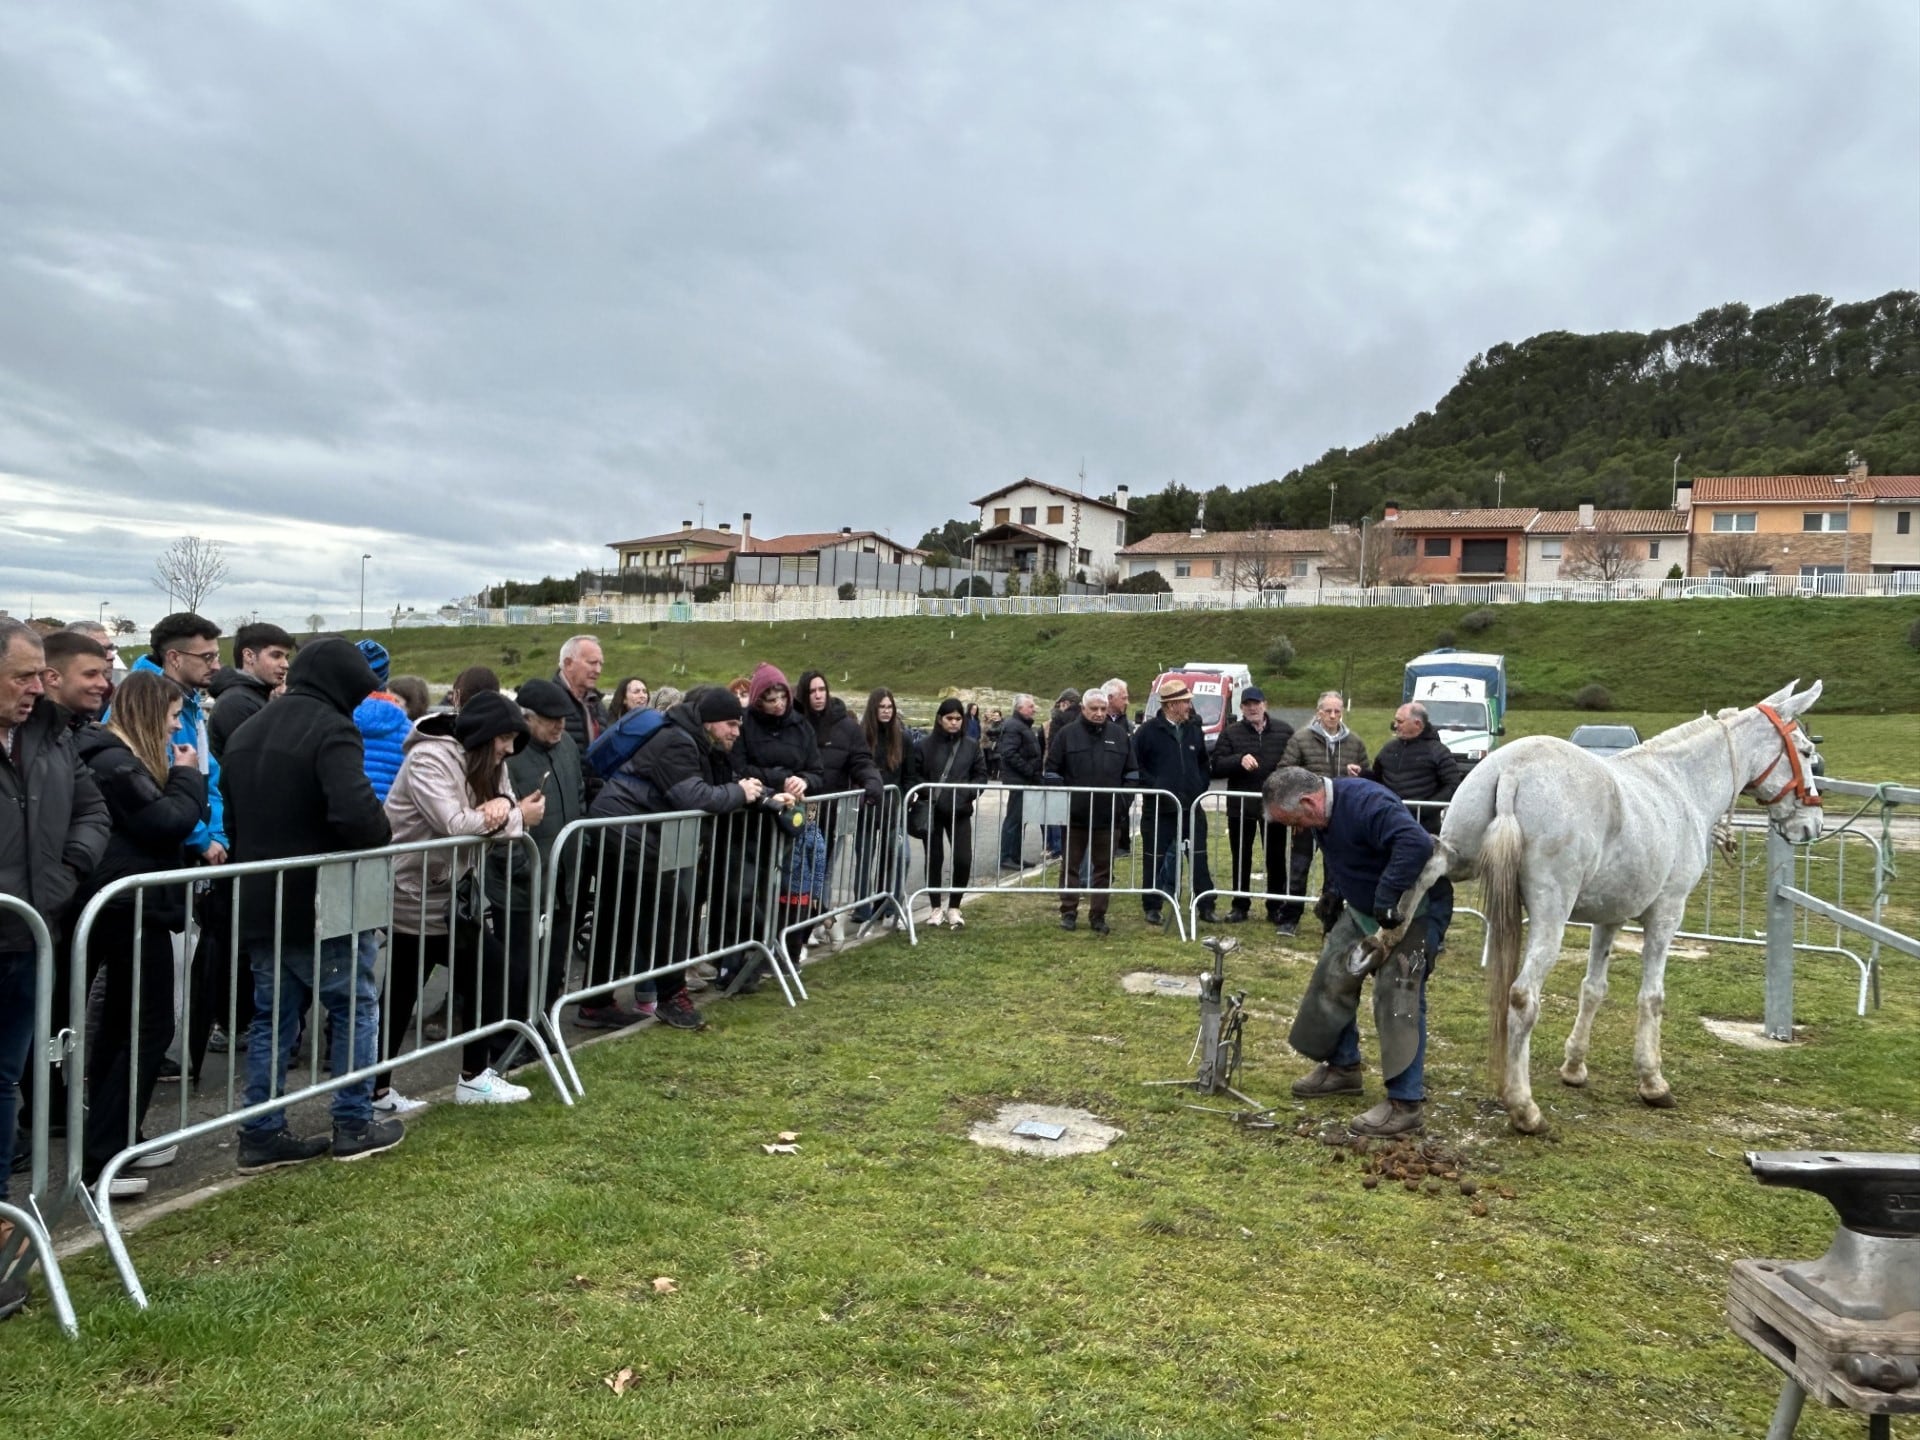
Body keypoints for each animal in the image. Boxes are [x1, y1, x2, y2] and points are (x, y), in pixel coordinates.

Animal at [1390, 683, 1820, 1136]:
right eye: (1806, 751)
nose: (1811, 825)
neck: (1681, 787)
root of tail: (1513, 771)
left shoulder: (1609, 918)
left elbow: (1593, 988)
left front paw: (1574, 1067)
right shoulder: (1666, 915)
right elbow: (1652, 997)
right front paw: (1652, 1082)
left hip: (1461, 858)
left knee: (1428, 868)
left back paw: (1387, 935)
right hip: (1550, 914)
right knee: (1524, 998)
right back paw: (1525, 1108)